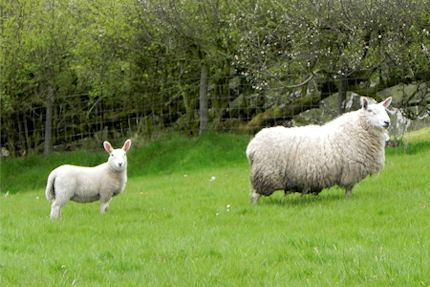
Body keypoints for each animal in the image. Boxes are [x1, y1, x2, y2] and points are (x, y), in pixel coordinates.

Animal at [245, 96, 394, 202]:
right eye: (370, 111)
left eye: (385, 110)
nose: (387, 122)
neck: (358, 128)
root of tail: (252, 146)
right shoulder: (351, 169)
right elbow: (349, 189)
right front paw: (348, 200)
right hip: (264, 173)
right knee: (255, 194)